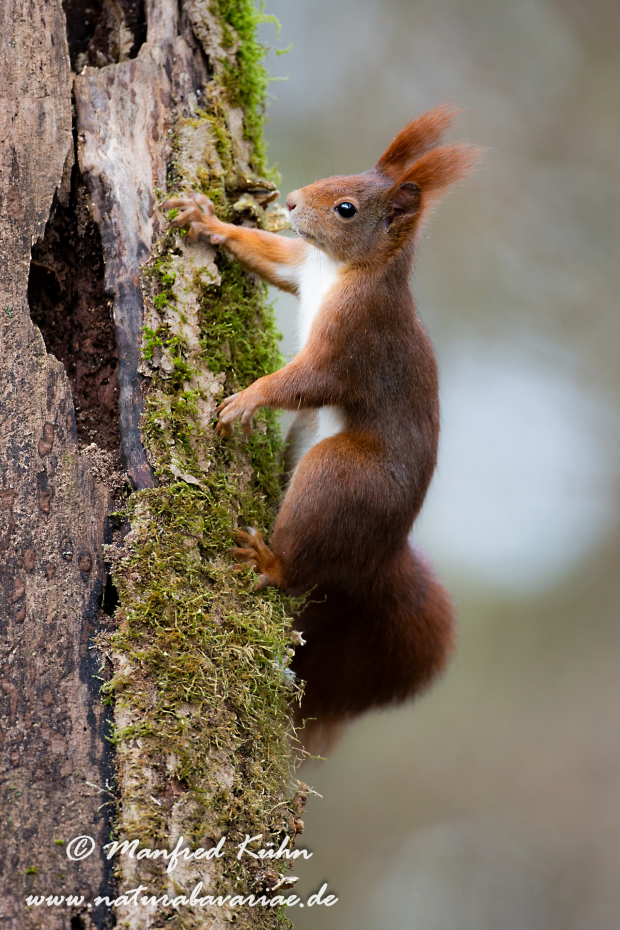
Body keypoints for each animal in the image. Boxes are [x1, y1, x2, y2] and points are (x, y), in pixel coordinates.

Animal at [163, 105, 479, 751]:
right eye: (338, 178)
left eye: (347, 209)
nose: (289, 200)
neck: (341, 269)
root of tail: (381, 554)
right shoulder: (300, 269)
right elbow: (270, 254)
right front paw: (207, 220)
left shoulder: (355, 338)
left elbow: (310, 380)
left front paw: (247, 400)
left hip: (338, 474)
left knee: (299, 570)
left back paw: (268, 561)